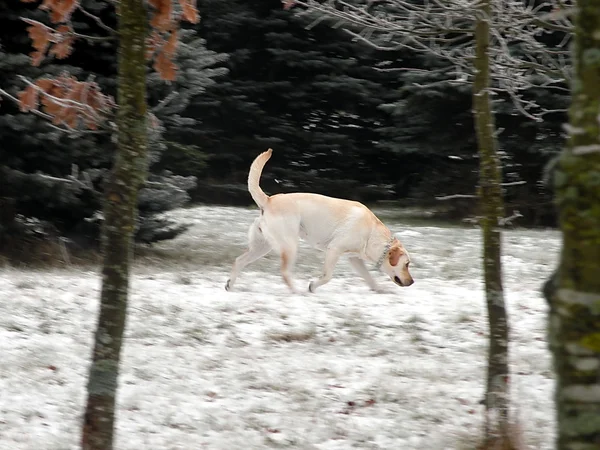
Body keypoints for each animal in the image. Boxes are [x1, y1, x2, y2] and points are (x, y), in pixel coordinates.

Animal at [225, 149, 412, 294]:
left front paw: (380, 290)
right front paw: (312, 286)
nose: (412, 282)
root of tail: (268, 200)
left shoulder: (355, 259)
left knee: (239, 261)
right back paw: (297, 292)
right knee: (284, 272)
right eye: (407, 264)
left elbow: (369, 278)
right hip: (290, 245)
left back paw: (230, 285)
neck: (371, 233)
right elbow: (327, 276)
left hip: (262, 246)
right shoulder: (334, 249)